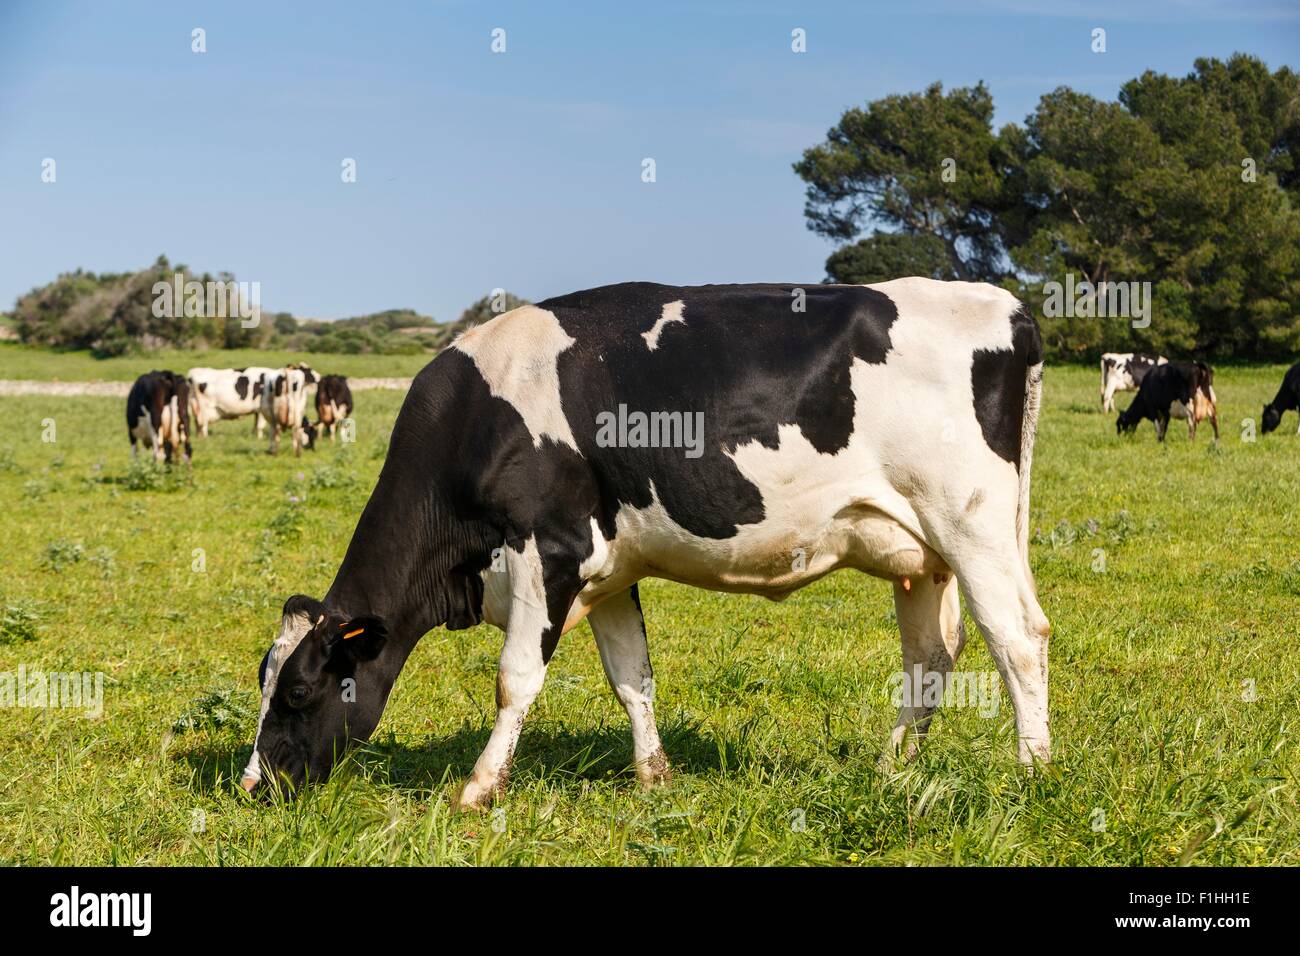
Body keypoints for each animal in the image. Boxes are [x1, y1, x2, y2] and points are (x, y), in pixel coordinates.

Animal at [241, 279, 1052, 809]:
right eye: (263, 680)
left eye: (300, 691)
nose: (253, 785)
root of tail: (1005, 305)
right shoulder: (608, 570)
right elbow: (632, 675)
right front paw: (655, 776)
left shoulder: (549, 550)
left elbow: (515, 679)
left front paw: (477, 789)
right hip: (920, 554)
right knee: (931, 659)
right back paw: (891, 770)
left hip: (971, 524)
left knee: (1018, 638)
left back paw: (1032, 773)